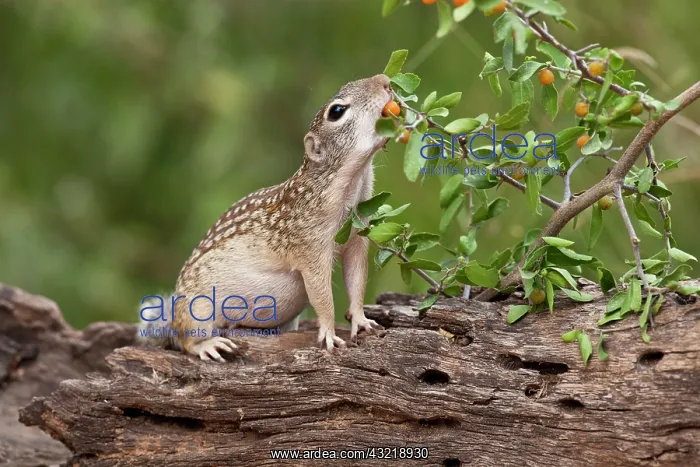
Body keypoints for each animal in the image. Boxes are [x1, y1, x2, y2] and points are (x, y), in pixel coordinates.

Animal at [137, 74, 392, 362]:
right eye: (336, 111)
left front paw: (361, 319)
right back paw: (207, 345)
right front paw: (328, 332)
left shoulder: (357, 237)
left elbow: (357, 278)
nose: (384, 80)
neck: (352, 183)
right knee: (184, 339)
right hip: (197, 309)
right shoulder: (310, 249)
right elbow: (322, 295)